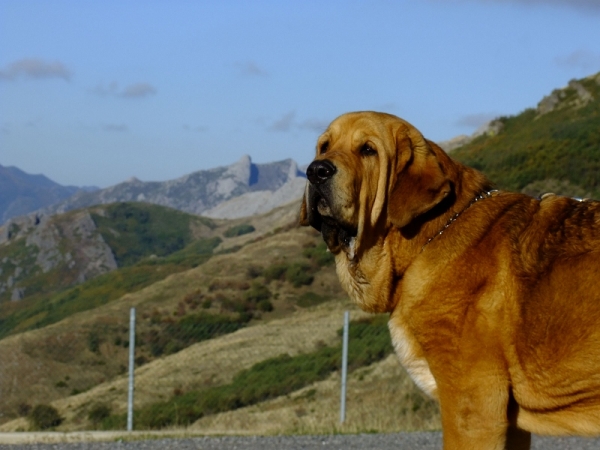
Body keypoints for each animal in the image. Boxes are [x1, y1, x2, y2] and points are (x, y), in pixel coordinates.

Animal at [298, 110, 600, 450]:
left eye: (368, 150)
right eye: (324, 146)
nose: (316, 170)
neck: (432, 233)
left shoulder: (473, 404)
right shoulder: (510, 424)